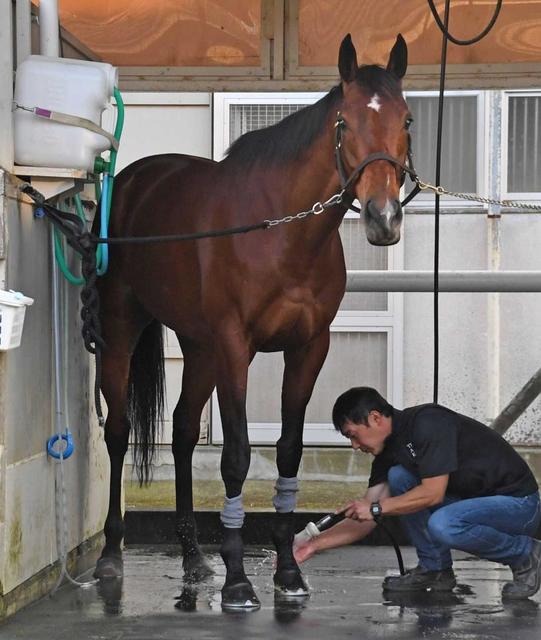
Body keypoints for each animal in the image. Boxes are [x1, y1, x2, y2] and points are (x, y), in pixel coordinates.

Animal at [93, 33, 412, 610]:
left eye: (407, 119)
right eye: (345, 122)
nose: (383, 219)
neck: (281, 233)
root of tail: (129, 181)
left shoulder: (308, 348)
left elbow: (287, 451)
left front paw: (287, 571)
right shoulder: (234, 347)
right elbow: (237, 456)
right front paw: (239, 580)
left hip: (198, 348)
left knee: (182, 431)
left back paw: (193, 557)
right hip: (123, 330)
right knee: (119, 431)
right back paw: (111, 555)